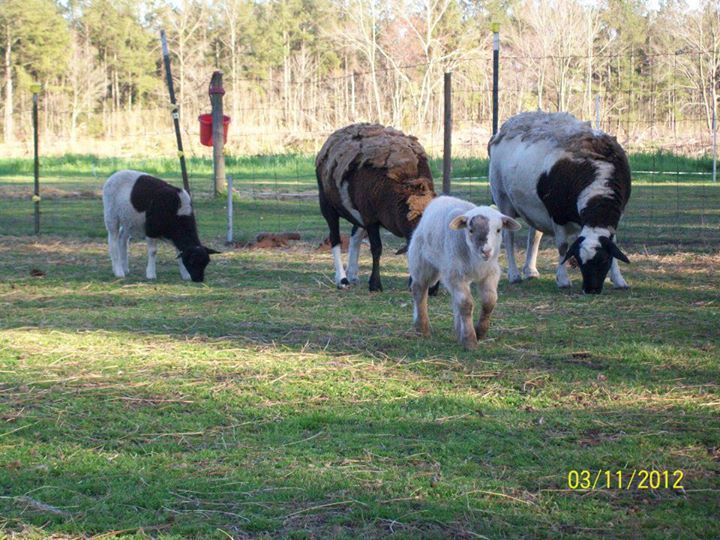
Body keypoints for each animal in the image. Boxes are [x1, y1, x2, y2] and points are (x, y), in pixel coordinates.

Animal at [314, 123, 434, 292]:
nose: (433, 291)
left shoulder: (367, 214)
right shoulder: (370, 217)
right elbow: (377, 248)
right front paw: (375, 284)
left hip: (357, 211)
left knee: (355, 235)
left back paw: (352, 274)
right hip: (327, 205)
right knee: (335, 238)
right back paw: (342, 279)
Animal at [408, 195, 520, 350]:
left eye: (498, 230)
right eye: (470, 230)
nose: (486, 251)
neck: (475, 258)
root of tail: (442, 198)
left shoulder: (490, 273)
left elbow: (489, 301)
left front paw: (480, 332)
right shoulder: (456, 275)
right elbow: (466, 304)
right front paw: (469, 341)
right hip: (422, 261)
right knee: (419, 290)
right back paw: (422, 328)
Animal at [490, 110, 632, 296]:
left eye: (603, 260)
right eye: (579, 261)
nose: (591, 290)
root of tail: (506, 127)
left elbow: (614, 246)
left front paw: (619, 280)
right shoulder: (556, 214)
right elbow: (563, 247)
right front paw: (563, 280)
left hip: (534, 207)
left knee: (534, 235)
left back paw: (530, 271)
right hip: (503, 198)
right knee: (508, 237)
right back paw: (514, 275)